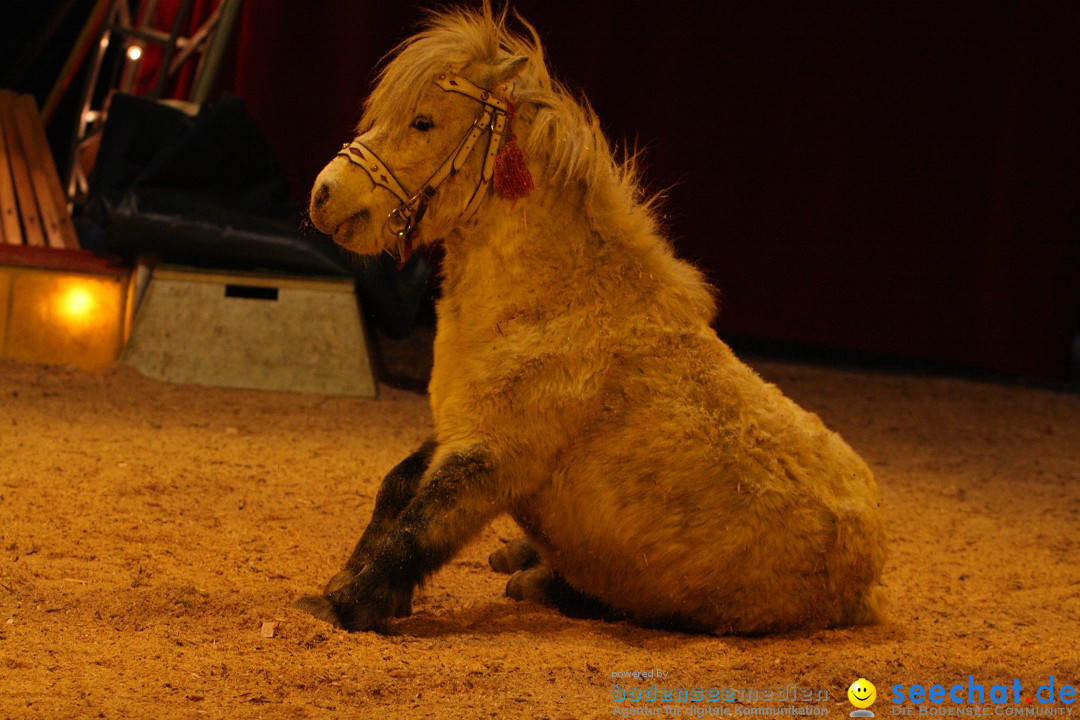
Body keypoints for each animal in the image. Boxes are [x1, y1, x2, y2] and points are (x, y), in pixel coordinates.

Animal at [300, 2, 881, 634]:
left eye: (424, 122)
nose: (325, 194)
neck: (554, 302)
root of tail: (869, 580)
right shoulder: (456, 428)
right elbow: (396, 487)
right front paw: (348, 584)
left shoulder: (490, 460)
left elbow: (420, 526)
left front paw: (347, 602)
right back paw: (517, 556)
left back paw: (535, 579)